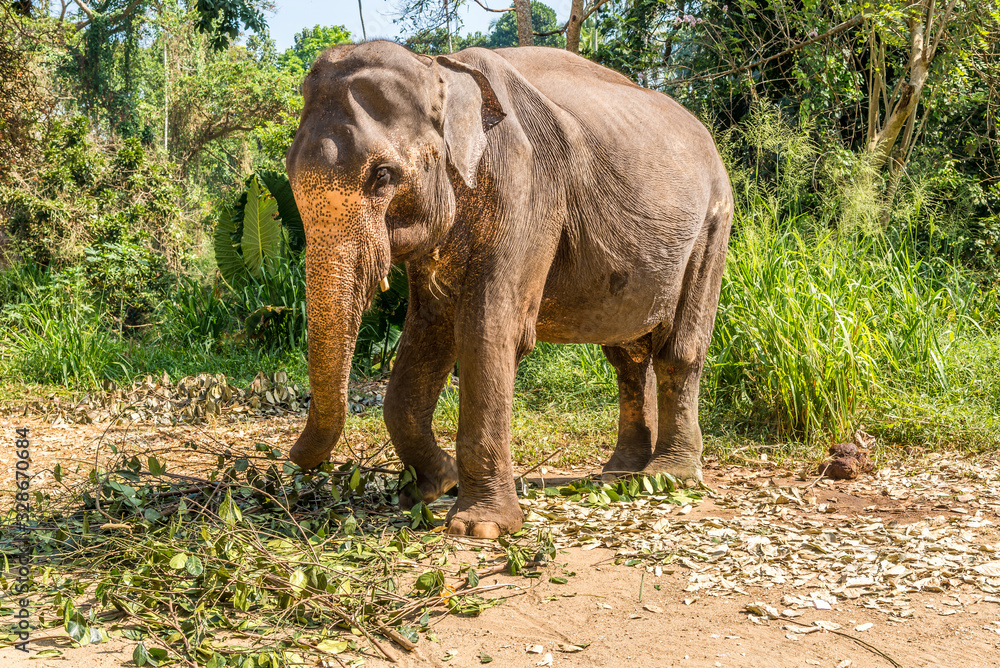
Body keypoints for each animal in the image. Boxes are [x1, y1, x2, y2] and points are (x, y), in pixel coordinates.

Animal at [285, 40, 733, 538]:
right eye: (287, 173)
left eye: (381, 175)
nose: (291, 460)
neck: (441, 69)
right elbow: (428, 334)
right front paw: (434, 487)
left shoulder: (528, 188)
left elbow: (487, 329)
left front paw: (478, 527)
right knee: (628, 356)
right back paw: (620, 475)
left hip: (713, 223)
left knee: (679, 349)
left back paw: (670, 477)